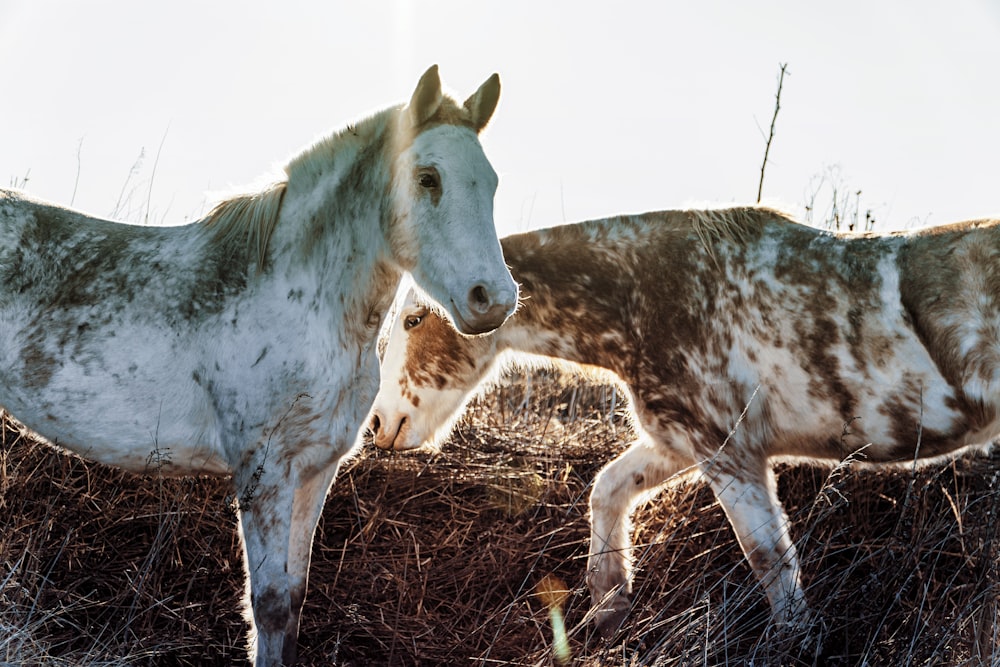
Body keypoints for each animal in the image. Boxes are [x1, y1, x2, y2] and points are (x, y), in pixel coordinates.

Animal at [0, 65, 516, 664]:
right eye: (429, 178)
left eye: (493, 182)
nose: (494, 300)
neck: (306, 303)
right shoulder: (264, 471)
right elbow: (268, 602)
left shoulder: (317, 469)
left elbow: (293, 597)